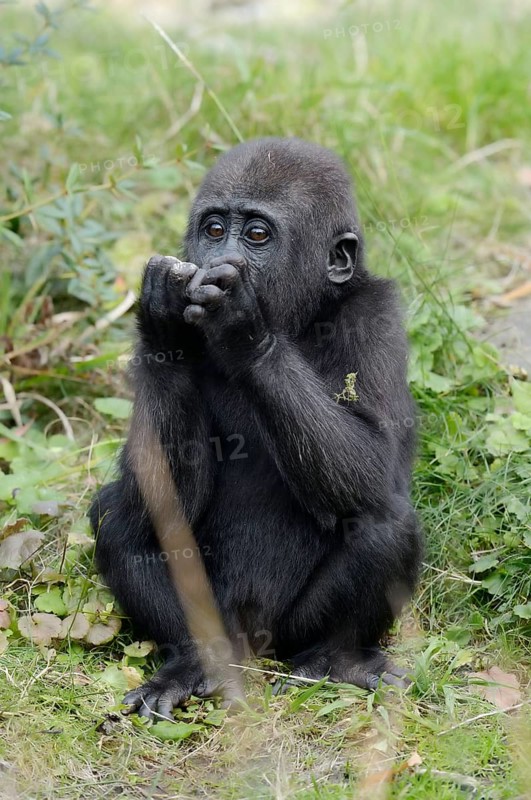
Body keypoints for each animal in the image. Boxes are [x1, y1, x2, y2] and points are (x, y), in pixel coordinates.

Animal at [90, 137, 422, 719]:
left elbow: (377, 464)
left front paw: (245, 326)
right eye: (214, 228)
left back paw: (337, 657)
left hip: (289, 634)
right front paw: (163, 315)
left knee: (384, 519)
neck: (306, 313)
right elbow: (159, 492)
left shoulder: (375, 313)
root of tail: (250, 641)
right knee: (124, 518)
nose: (217, 260)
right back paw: (192, 660)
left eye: (258, 235)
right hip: (220, 622)